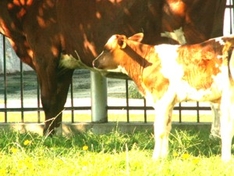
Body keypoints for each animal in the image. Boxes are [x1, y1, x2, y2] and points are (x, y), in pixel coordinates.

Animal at [0, 0, 227, 135]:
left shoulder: (44, 52)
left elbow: (48, 100)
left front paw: (47, 138)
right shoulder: (63, 64)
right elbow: (58, 102)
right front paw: (55, 136)